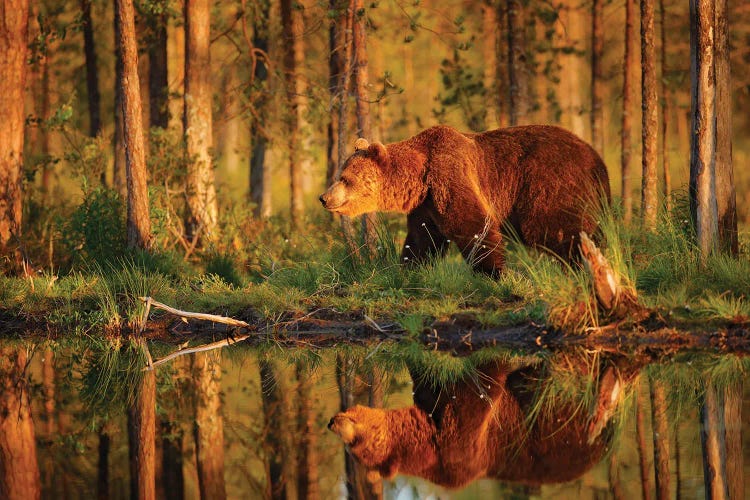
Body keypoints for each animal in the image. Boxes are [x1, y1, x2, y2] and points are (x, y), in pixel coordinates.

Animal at [320, 124, 612, 274]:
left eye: (345, 178)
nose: (323, 197)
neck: (419, 178)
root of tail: (597, 158)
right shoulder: (426, 205)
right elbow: (422, 238)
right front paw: (410, 267)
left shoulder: (450, 173)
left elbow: (473, 225)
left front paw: (493, 271)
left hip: (549, 181)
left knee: (559, 226)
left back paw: (582, 261)